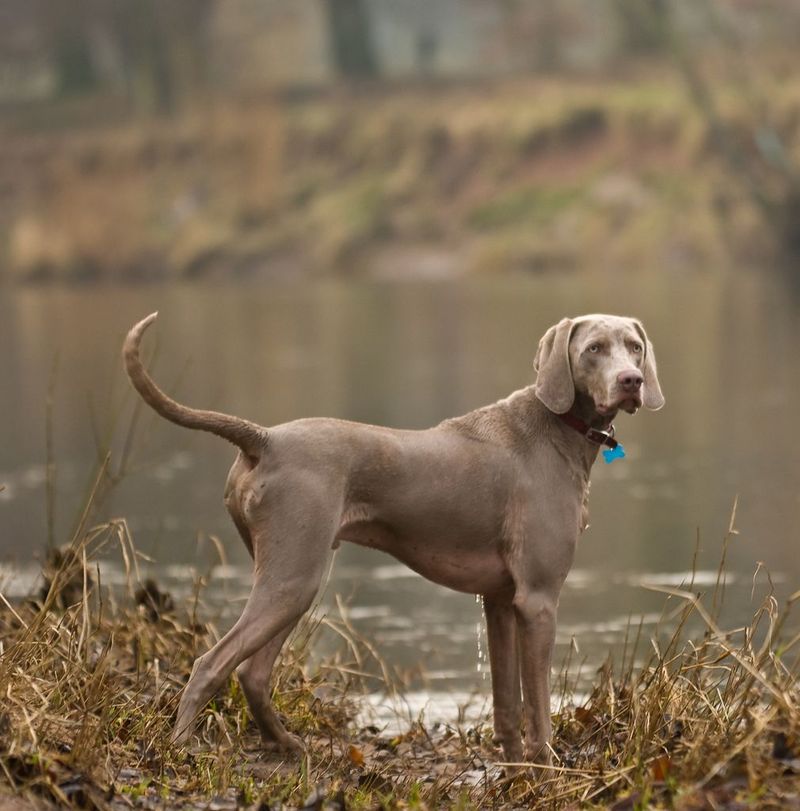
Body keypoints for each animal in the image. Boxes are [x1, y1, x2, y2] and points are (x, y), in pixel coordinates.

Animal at [123, 312, 664, 768]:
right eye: (593, 348)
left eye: (634, 347)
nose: (631, 381)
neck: (559, 430)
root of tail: (265, 439)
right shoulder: (538, 600)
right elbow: (539, 709)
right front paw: (547, 774)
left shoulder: (499, 601)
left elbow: (508, 706)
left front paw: (515, 775)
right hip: (295, 576)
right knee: (210, 664)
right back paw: (181, 749)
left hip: (291, 578)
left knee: (251, 673)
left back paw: (287, 745)